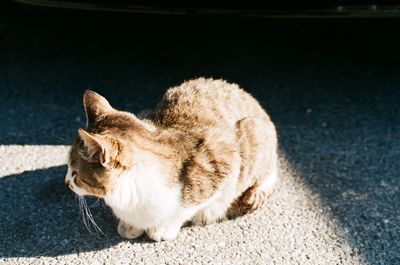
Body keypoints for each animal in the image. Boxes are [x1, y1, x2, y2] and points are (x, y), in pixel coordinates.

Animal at [65, 77, 278, 240]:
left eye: (75, 173)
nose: (66, 182)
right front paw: (130, 225)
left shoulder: (221, 156)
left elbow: (185, 208)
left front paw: (163, 228)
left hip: (252, 134)